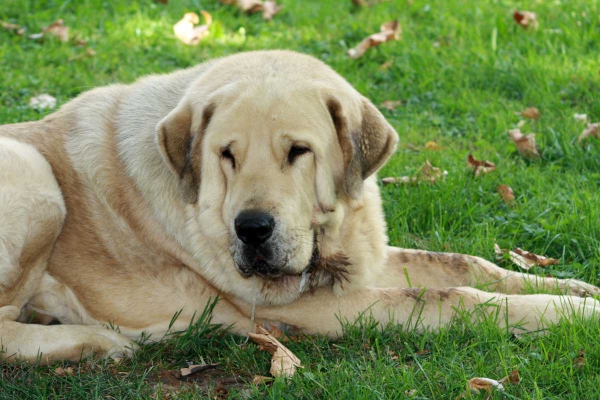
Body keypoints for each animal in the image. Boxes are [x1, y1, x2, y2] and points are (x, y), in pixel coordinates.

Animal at [1, 50, 600, 366]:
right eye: (227, 155)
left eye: (298, 151)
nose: (252, 229)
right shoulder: (312, 308)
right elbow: (454, 297)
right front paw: (573, 315)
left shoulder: (365, 262)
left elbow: (465, 265)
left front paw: (576, 290)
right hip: (35, 177)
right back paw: (96, 339)